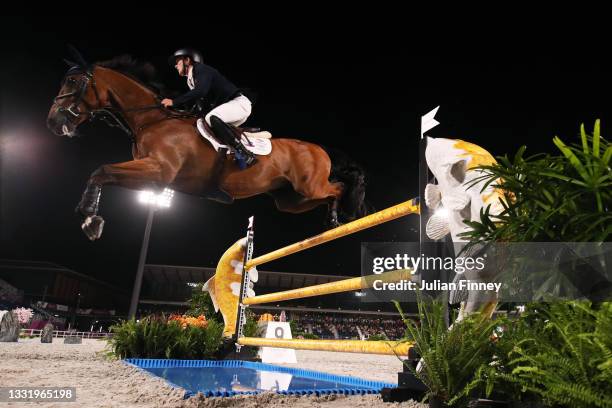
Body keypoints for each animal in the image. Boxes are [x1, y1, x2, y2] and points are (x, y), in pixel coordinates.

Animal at [46, 53, 368, 239]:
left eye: (73, 82)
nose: (53, 122)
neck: (152, 120)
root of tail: (320, 149)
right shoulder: (152, 177)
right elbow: (103, 173)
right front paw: (89, 217)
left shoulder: (158, 171)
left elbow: (101, 170)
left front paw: (90, 219)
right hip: (290, 199)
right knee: (329, 193)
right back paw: (332, 219)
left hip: (308, 187)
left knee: (338, 187)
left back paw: (337, 218)